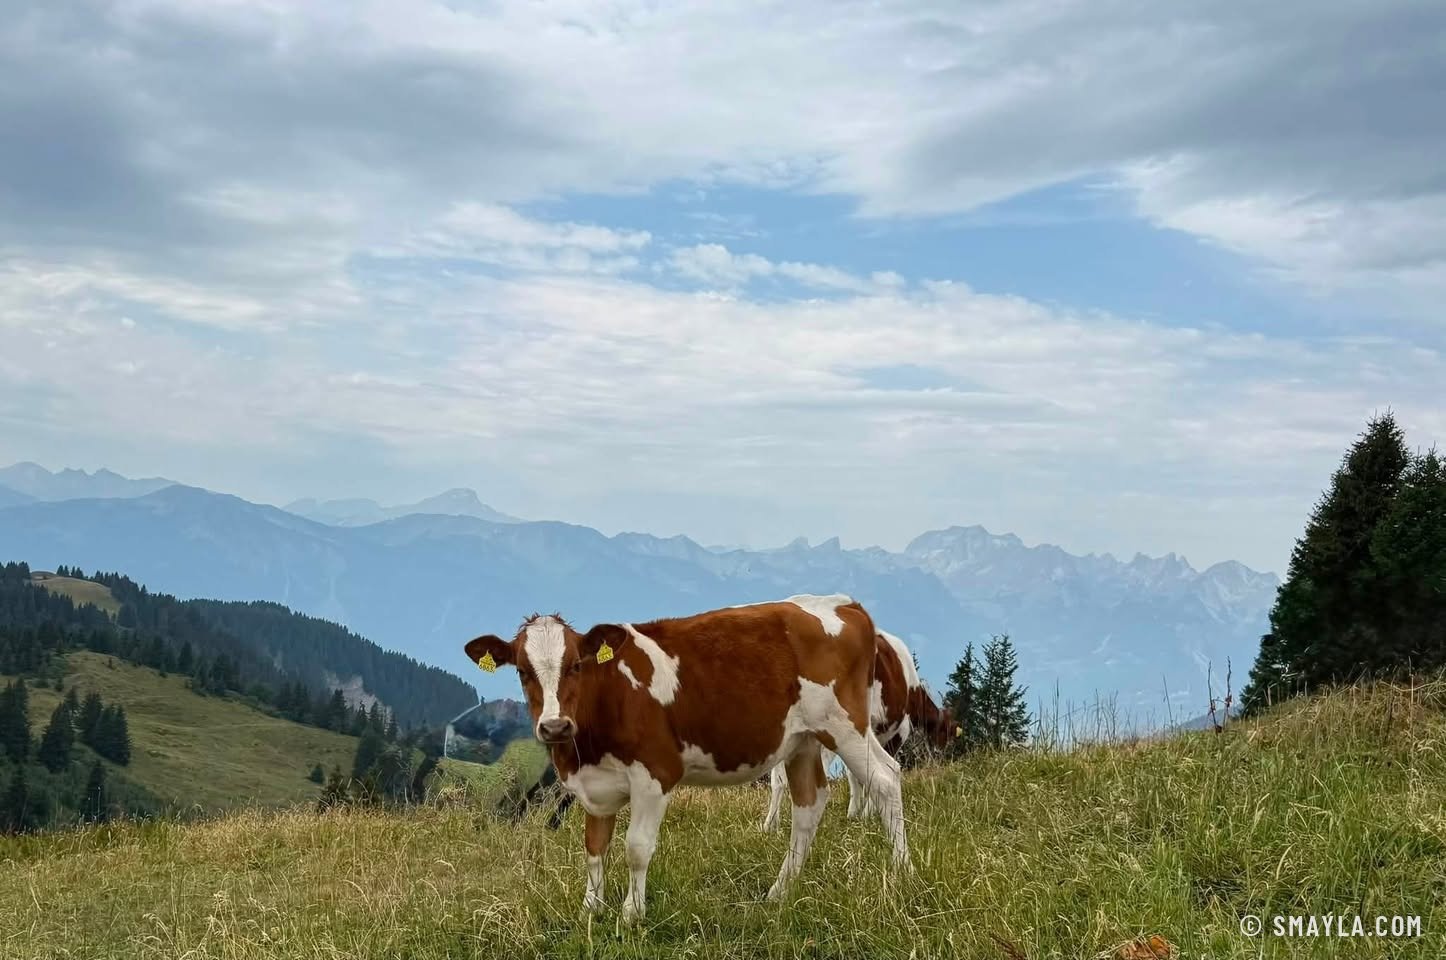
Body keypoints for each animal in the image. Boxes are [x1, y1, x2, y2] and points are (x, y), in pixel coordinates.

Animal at [464, 594, 908, 921]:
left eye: (576, 665)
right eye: (522, 671)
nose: (555, 727)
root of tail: (843, 604)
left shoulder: (655, 774)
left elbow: (636, 847)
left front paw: (632, 915)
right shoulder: (595, 786)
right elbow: (594, 848)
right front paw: (592, 909)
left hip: (844, 725)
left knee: (885, 780)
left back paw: (901, 871)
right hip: (804, 740)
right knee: (811, 804)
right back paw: (778, 893)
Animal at [762, 628, 955, 831]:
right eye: (946, 732)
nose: (942, 752)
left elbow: (854, 775)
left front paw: (854, 813)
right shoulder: (896, 733)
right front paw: (867, 813)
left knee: (779, 777)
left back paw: (770, 825)